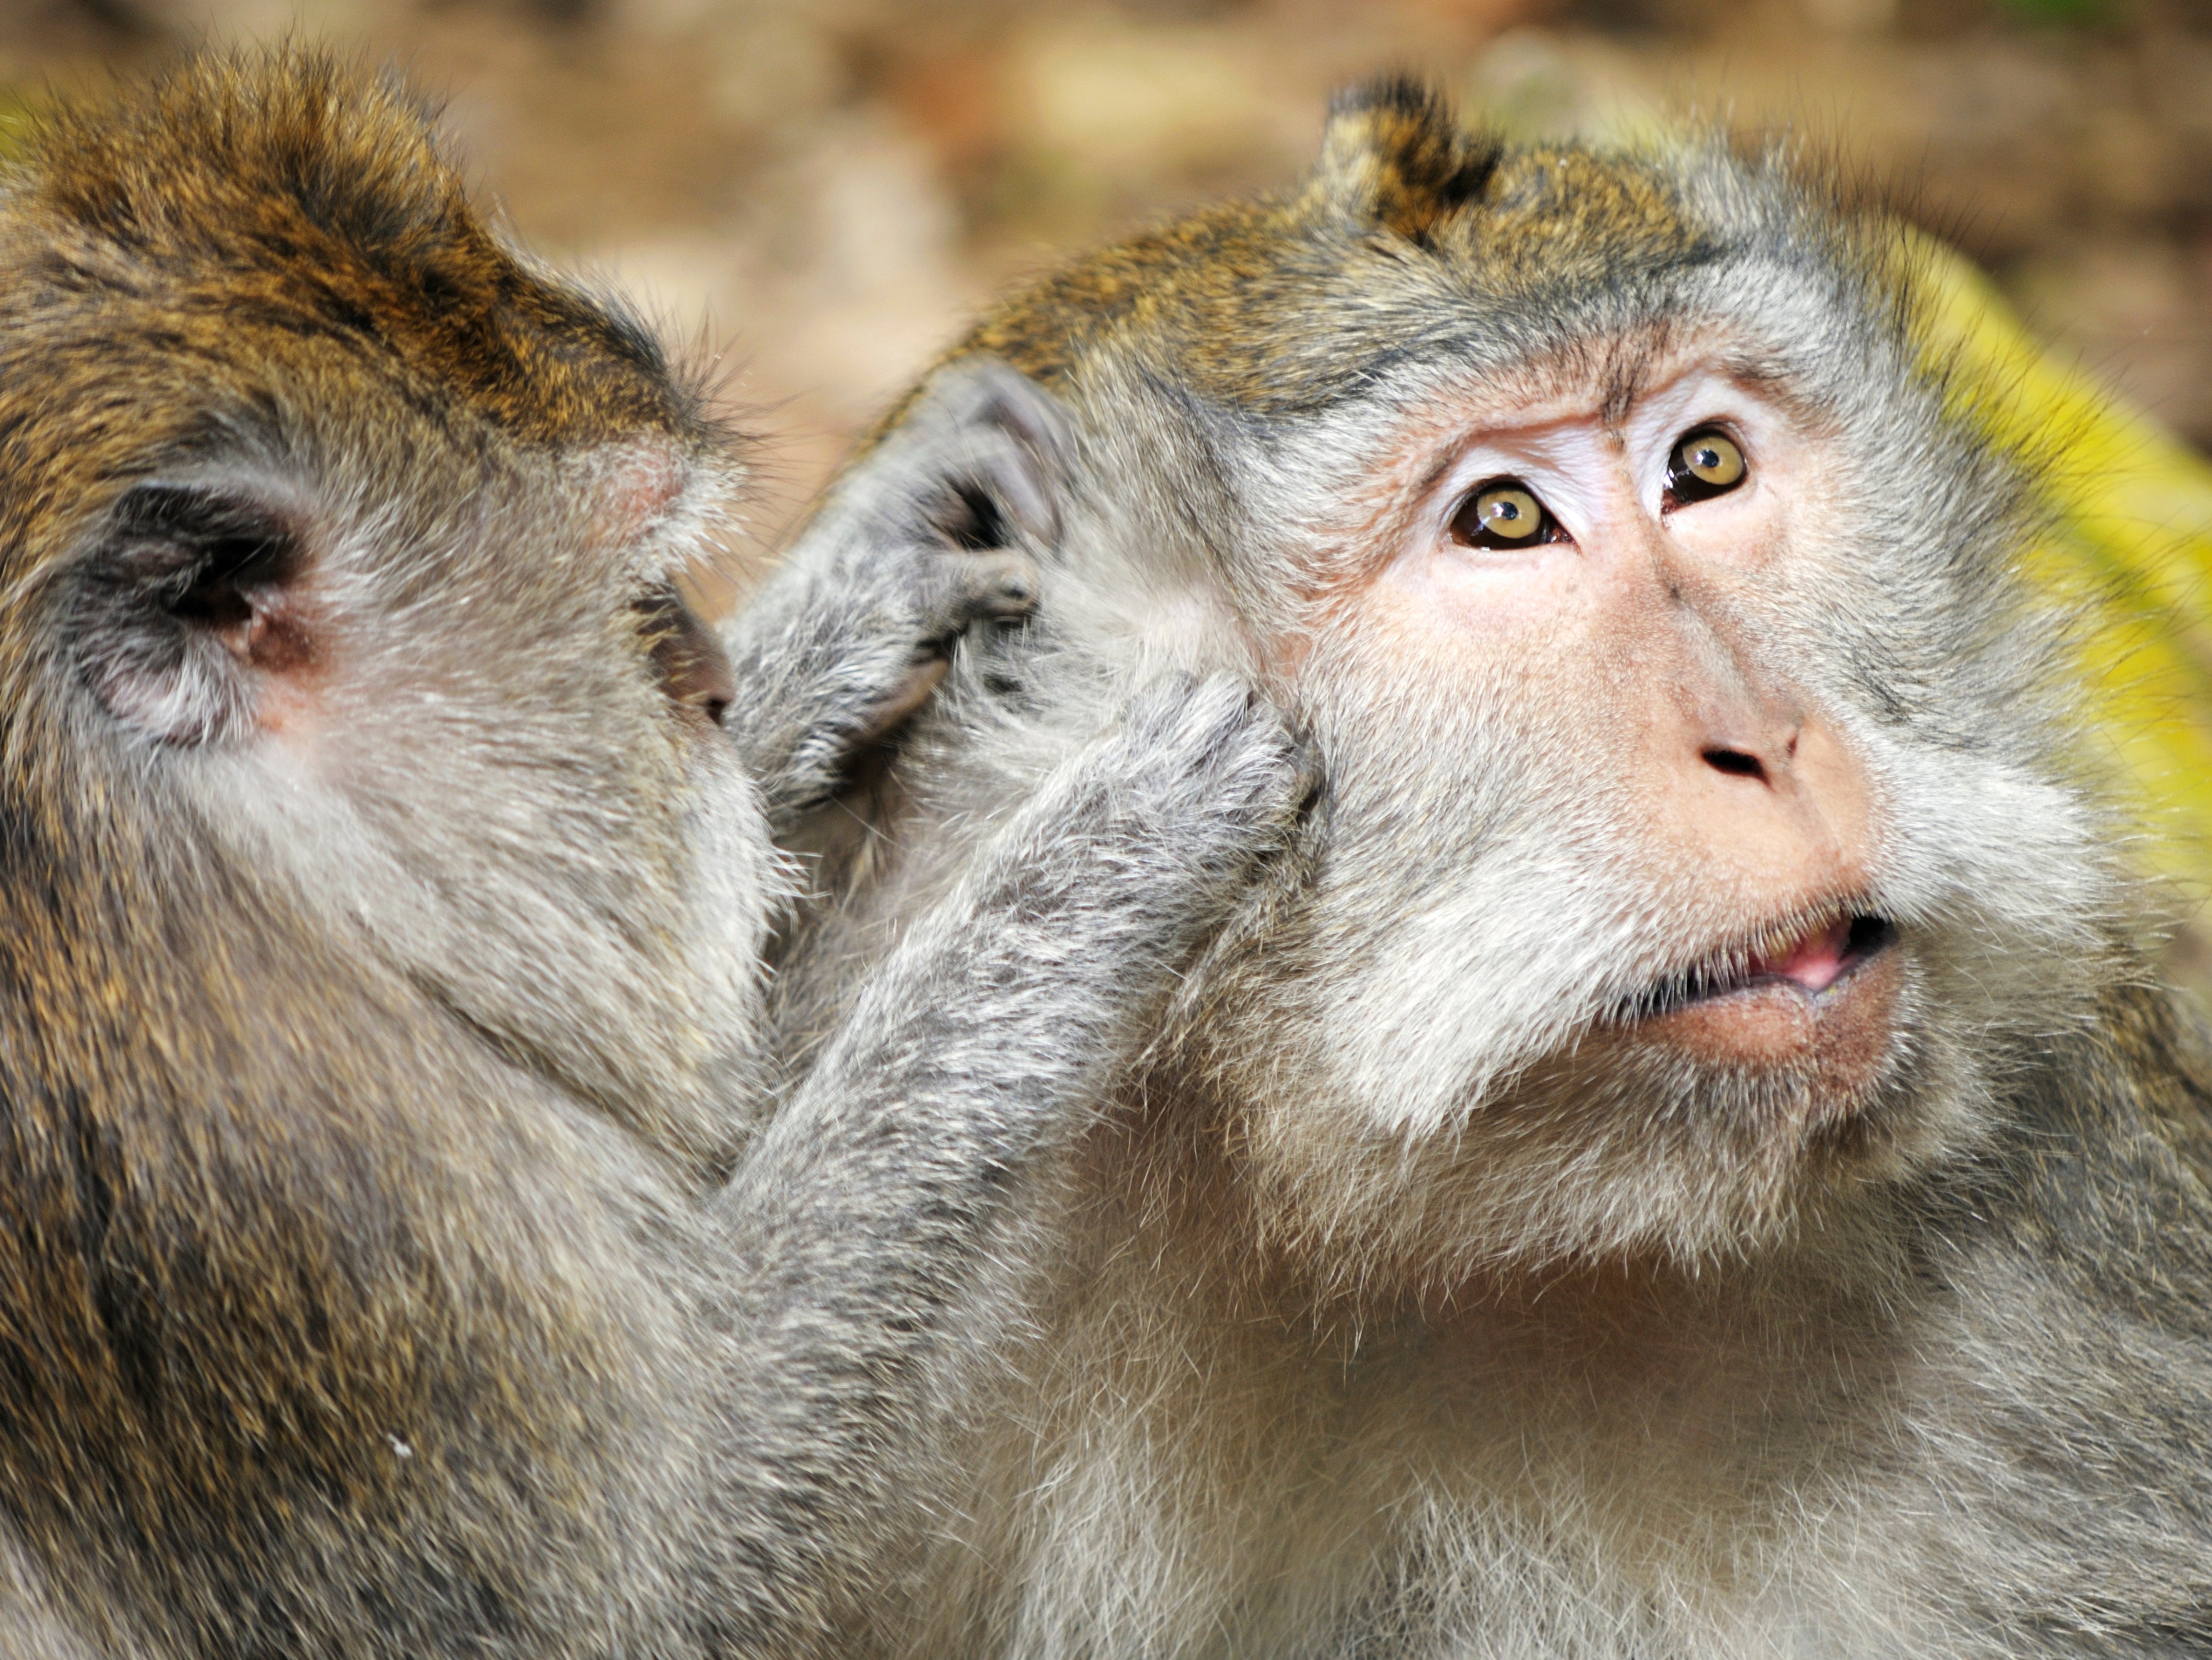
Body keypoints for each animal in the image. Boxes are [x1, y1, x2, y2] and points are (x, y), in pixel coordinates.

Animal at [0, 47, 1315, 1660]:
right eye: (628, 586)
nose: (707, 678)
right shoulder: (298, 1191)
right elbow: (655, 1588)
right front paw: (1088, 859)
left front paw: (870, 572)